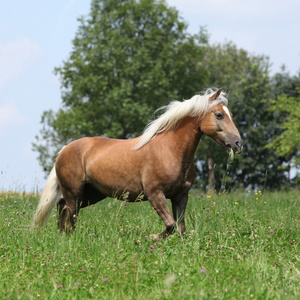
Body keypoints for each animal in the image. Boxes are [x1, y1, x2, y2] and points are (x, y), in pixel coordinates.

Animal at [32, 87, 243, 239]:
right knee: (69, 214)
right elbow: (170, 225)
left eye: (231, 114)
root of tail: (64, 150)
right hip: (74, 192)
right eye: (219, 115)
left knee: (62, 207)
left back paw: (61, 237)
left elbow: (180, 229)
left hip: (92, 194)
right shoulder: (155, 194)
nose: (238, 143)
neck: (171, 151)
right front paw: (151, 237)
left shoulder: (180, 196)